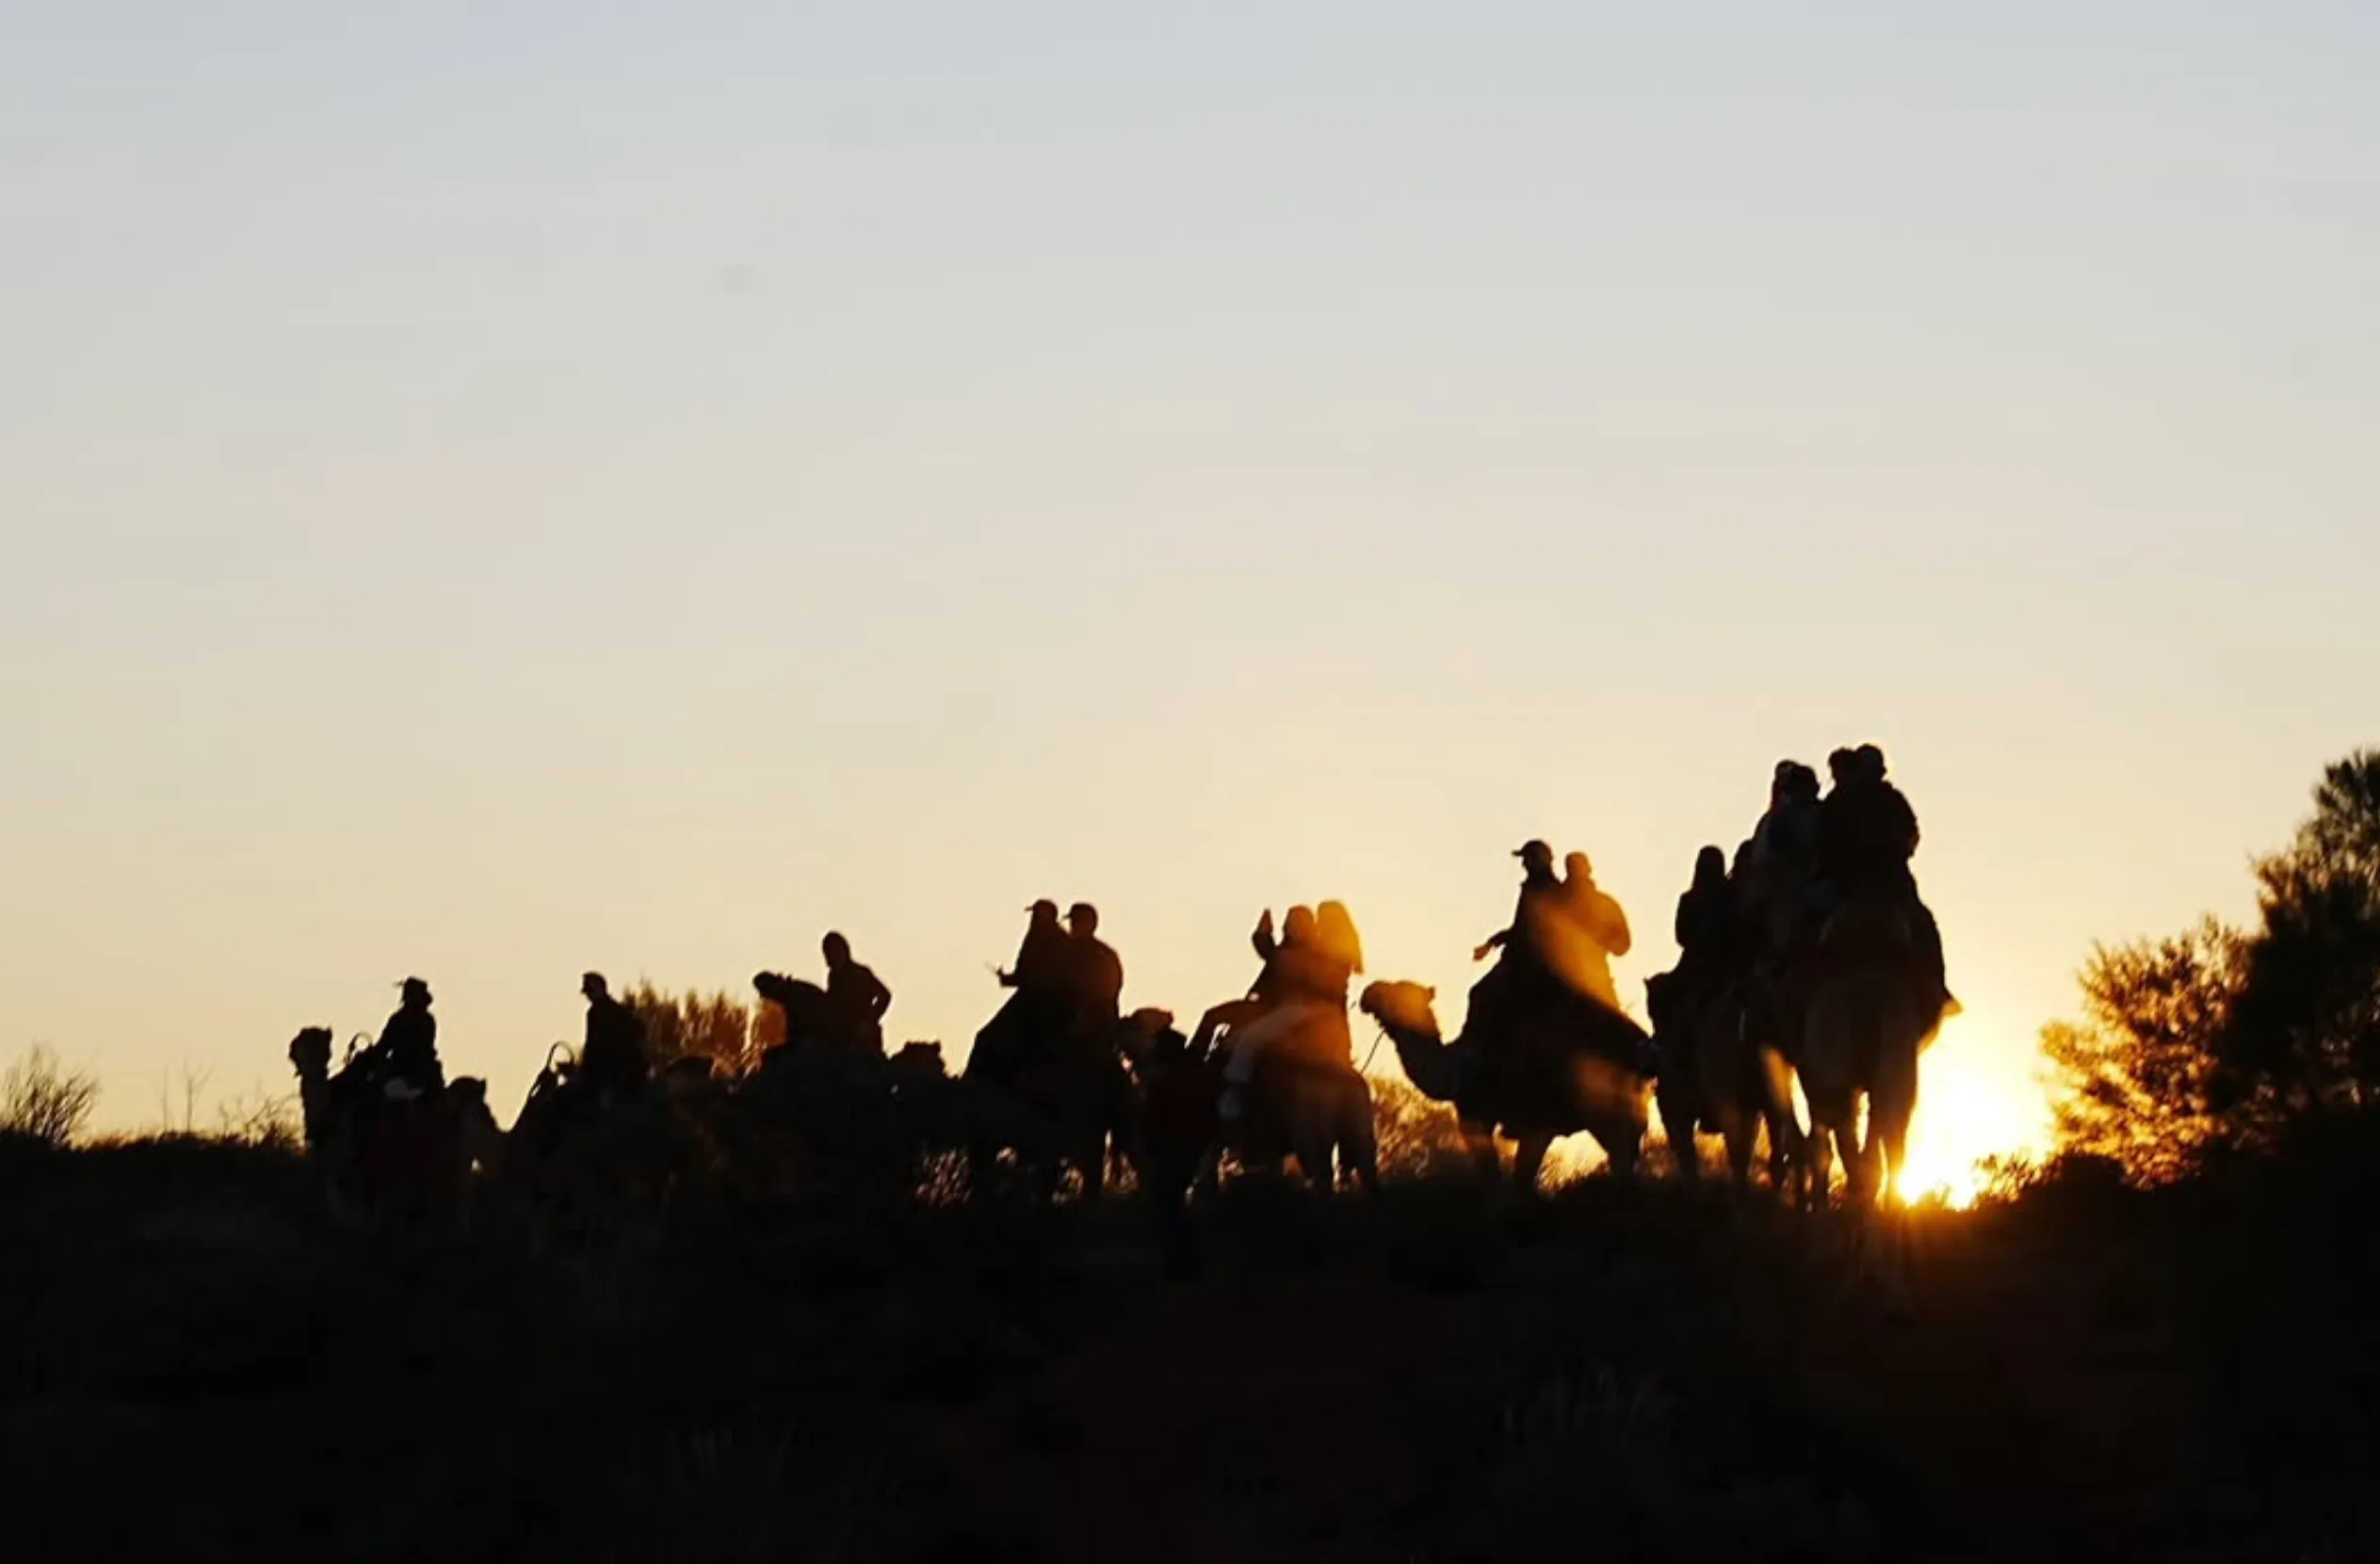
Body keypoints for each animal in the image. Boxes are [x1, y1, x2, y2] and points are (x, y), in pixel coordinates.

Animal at [1361, 975, 1656, 1195]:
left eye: (1396, 994)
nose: (1367, 993)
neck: (1459, 1066)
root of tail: (1639, 1046)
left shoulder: (1495, 1117)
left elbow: (1503, 1178)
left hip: (1602, 1107)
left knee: (1621, 1154)